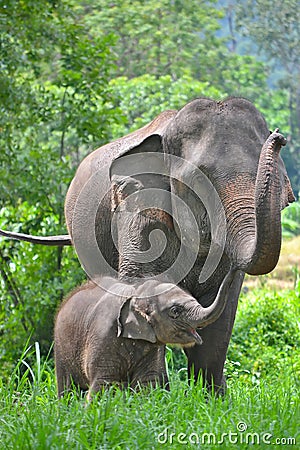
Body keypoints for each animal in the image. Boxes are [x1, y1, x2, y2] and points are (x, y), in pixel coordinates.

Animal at [55, 272, 236, 400]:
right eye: (175, 311)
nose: (234, 269)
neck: (137, 292)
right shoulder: (102, 336)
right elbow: (103, 384)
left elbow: (146, 385)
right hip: (61, 346)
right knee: (68, 388)